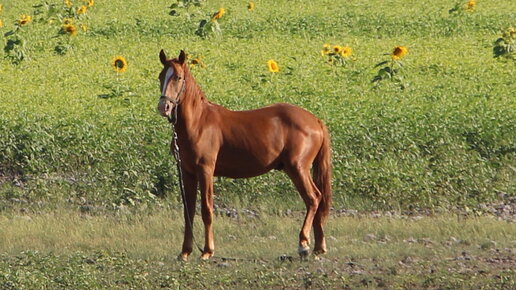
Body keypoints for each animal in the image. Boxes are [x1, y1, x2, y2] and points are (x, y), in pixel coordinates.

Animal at [157, 49, 332, 260]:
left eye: (178, 77)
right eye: (160, 76)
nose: (163, 107)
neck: (198, 123)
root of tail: (315, 121)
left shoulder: (205, 170)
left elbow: (206, 209)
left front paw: (207, 251)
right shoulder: (187, 172)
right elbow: (188, 212)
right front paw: (185, 252)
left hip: (298, 168)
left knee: (313, 198)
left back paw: (303, 244)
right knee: (317, 200)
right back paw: (318, 247)